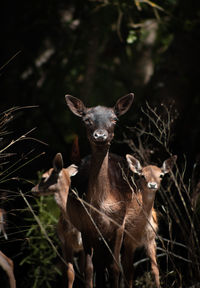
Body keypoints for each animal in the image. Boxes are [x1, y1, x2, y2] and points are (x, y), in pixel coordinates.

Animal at [65, 93, 134, 286]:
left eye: (114, 119)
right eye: (87, 120)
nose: (100, 135)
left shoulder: (119, 225)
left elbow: (116, 267)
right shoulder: (86, 227)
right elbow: (89, 269)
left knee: (125, 266)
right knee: (97, 265)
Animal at [122, 155, 177, 288]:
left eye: (161, 175)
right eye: (142, 175)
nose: (152, 185)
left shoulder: (151, 240)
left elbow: (155, 269)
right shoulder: (128, 241)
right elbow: (129, 270)